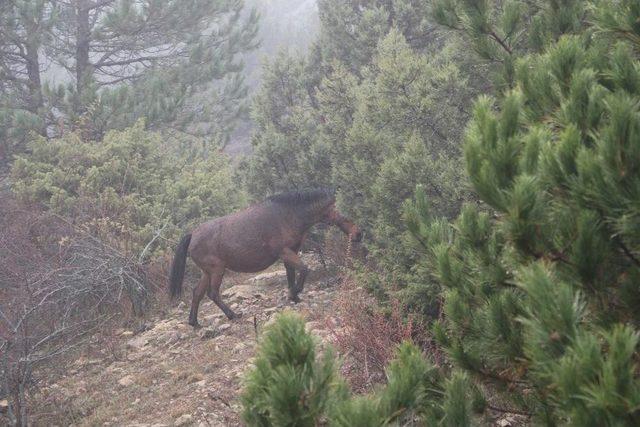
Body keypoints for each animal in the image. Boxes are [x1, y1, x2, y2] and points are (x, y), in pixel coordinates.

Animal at [168, 190, 362, 328]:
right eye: (343, 209)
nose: (359, 234)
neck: (289, 214)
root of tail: (192, 235)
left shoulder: (290, 252)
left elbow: (292, 274)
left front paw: (294, 297)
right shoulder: (285, 252)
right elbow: (304, 269)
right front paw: (295, 293)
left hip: (207, 272)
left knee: (197, 293)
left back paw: (194, 322)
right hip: (217, 270)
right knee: (213, 293)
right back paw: (233, 315)